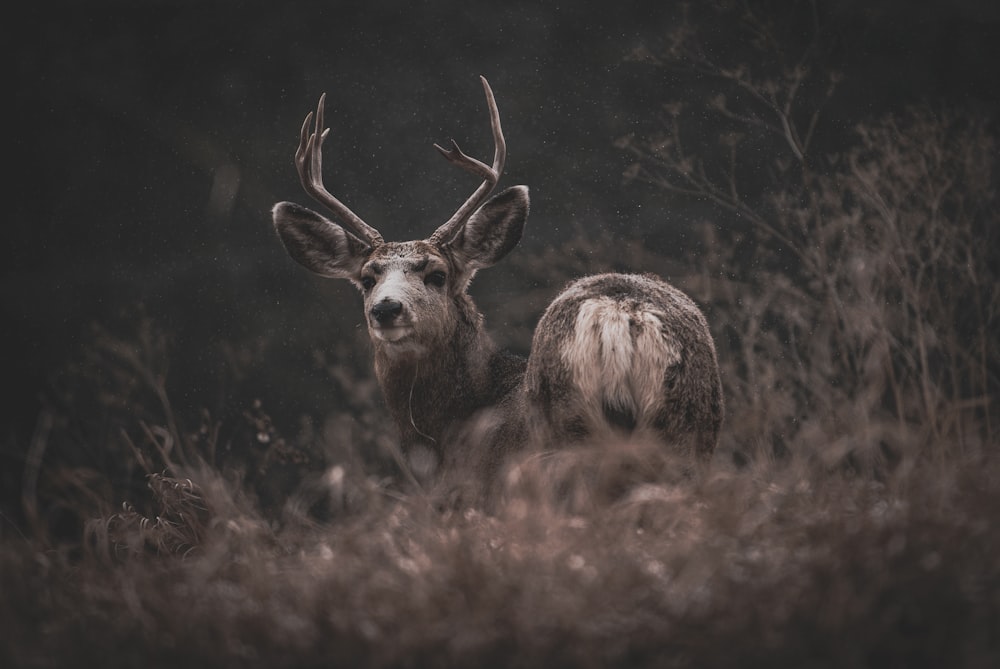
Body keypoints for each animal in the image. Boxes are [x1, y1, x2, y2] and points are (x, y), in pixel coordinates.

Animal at [270, 78, 724, 494]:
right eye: (367, 278)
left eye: (437, 274)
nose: (386, 309)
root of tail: (621, 313)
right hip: (688, 434)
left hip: (569, 443)